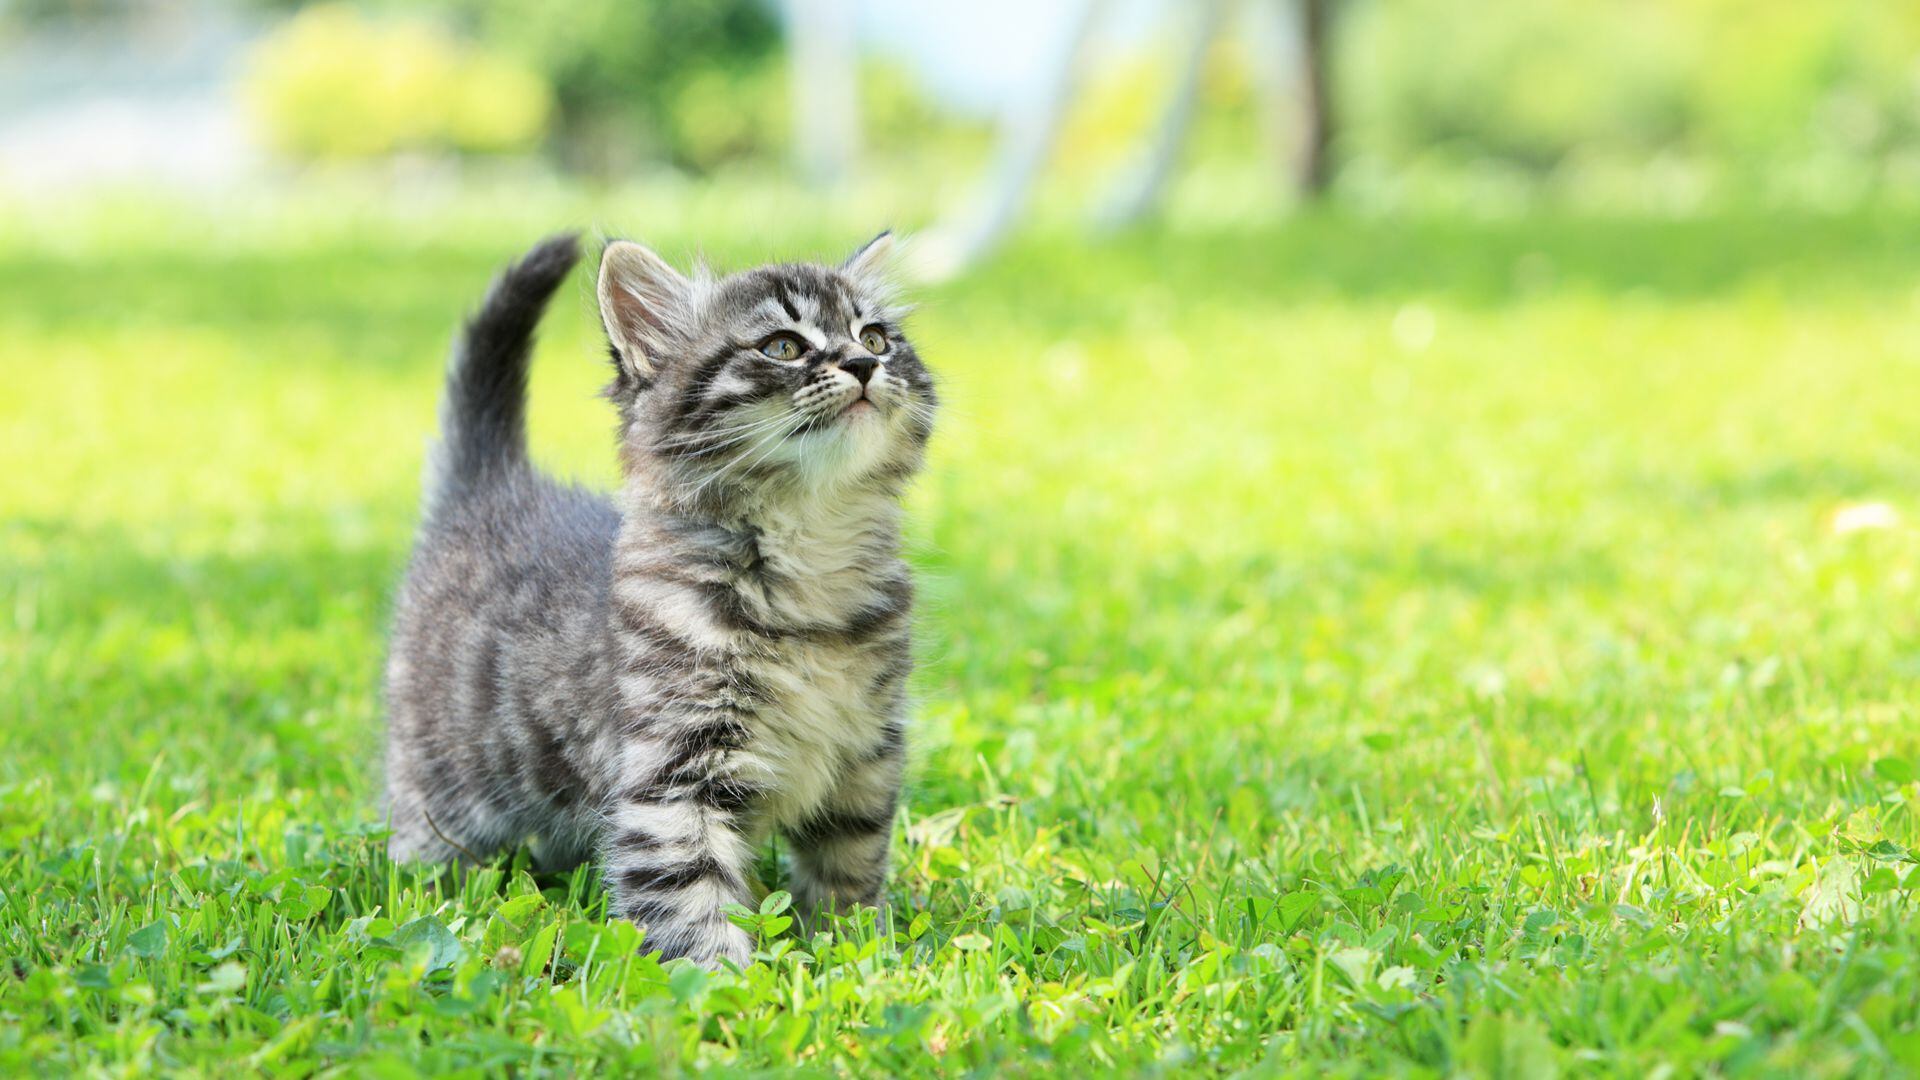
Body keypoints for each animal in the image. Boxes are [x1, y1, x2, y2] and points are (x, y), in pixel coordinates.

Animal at [378, 231, 933, 960]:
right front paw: (729, 982)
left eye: (875, 336)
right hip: (442, 781)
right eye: (783, 346)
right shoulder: (670, 778)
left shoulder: (865, 757)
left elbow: (850, 866)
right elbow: (692, 902)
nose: (865, 363)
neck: (810, 557)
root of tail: (492, 487)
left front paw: (855, 952)